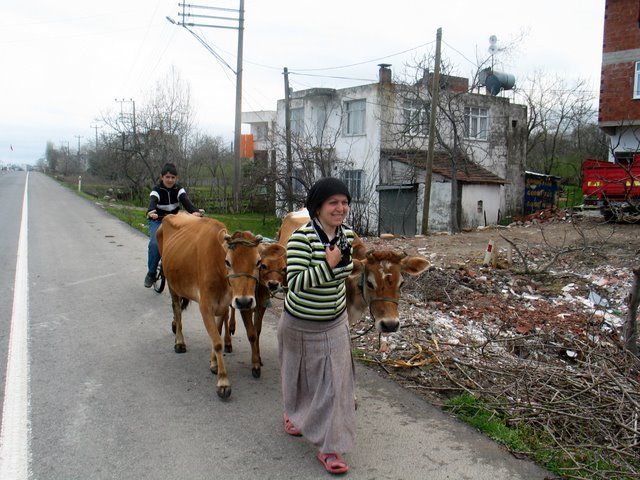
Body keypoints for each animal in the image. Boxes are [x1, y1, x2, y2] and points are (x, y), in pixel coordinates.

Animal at [156, 213, 264, 398]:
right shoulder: (205, 306)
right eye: (227, 262)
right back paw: (179, 342)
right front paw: (223, 381)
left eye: (258, 262)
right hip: (172, 283)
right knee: (177, 310)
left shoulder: (225, 305)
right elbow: (217, 342)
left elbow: (219, 332)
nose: (244, 301)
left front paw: (214, 364)